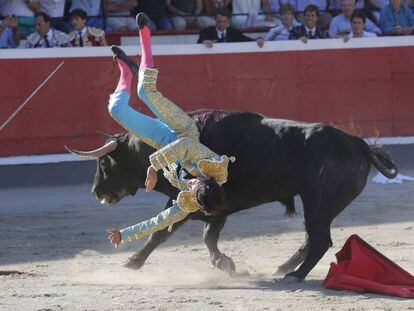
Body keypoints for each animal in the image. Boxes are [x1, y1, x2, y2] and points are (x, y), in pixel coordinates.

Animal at [68, 109, 398, 280]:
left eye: (104, 163)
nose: (96, 192)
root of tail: (357, 143)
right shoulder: (218, 208)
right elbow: (208, 236)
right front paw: (225, 264)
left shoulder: (189, 200)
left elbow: (162, 233)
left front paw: (132, 262)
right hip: (321, 207)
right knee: (312, 237)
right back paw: (284, 267)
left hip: (318, 203)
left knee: (319, 240)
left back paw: (293, 275)